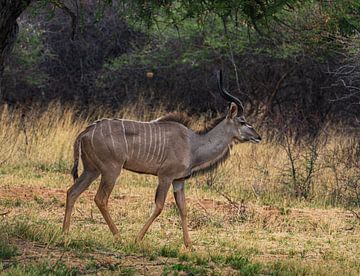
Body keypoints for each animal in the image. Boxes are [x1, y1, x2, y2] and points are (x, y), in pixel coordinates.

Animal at [62, 70, 262, 247]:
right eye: (243, 121)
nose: (258, 137)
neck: (193, 144)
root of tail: (86, 131)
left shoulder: (179, 181)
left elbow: (183, 209)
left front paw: (189, 245)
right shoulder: (165, 177)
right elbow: (159, 206)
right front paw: (138, 239)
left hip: (92, 170)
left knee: (72, 191)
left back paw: (65, 234)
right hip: (111, 170)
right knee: (100, 199)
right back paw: (118, 237)